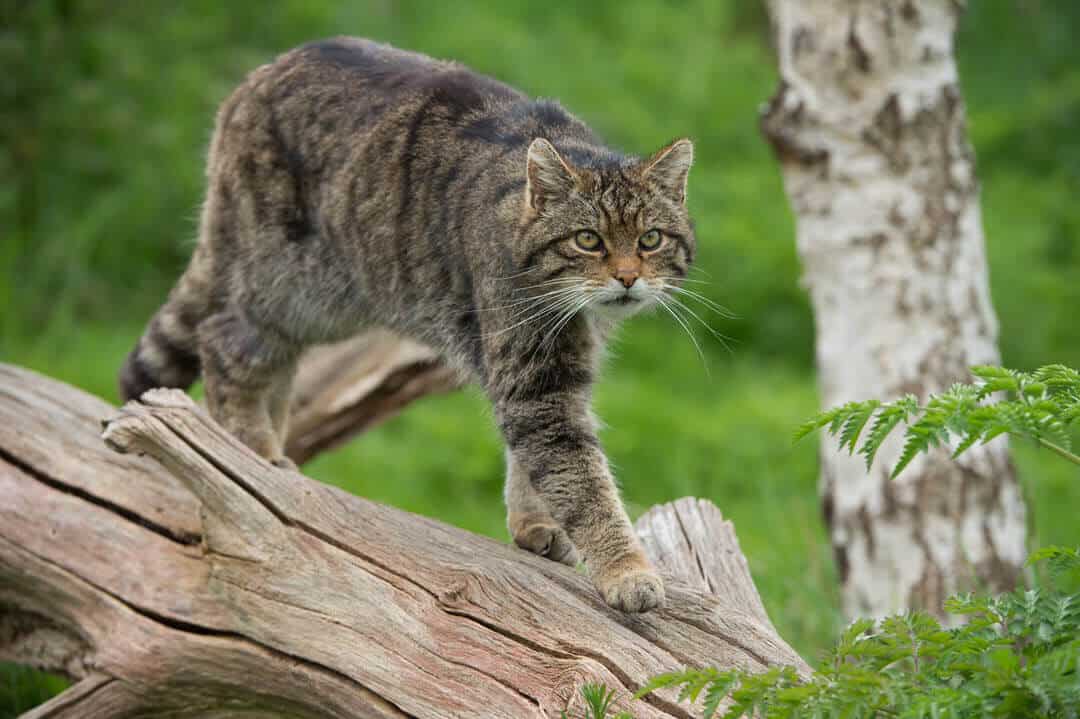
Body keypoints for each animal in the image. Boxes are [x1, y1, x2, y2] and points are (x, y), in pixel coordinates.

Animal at [118, 37, 695, 608]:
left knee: (271, 364)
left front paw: (535, 524)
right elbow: (579, 477)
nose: (627, 278)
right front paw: (626, 569)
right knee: (223, 340)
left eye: (650, 240)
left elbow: (534, 462)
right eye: (588, 240)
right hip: (291, 287)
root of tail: (257, 77)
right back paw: (250, 450)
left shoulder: (557, 373)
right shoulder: (533, 378)